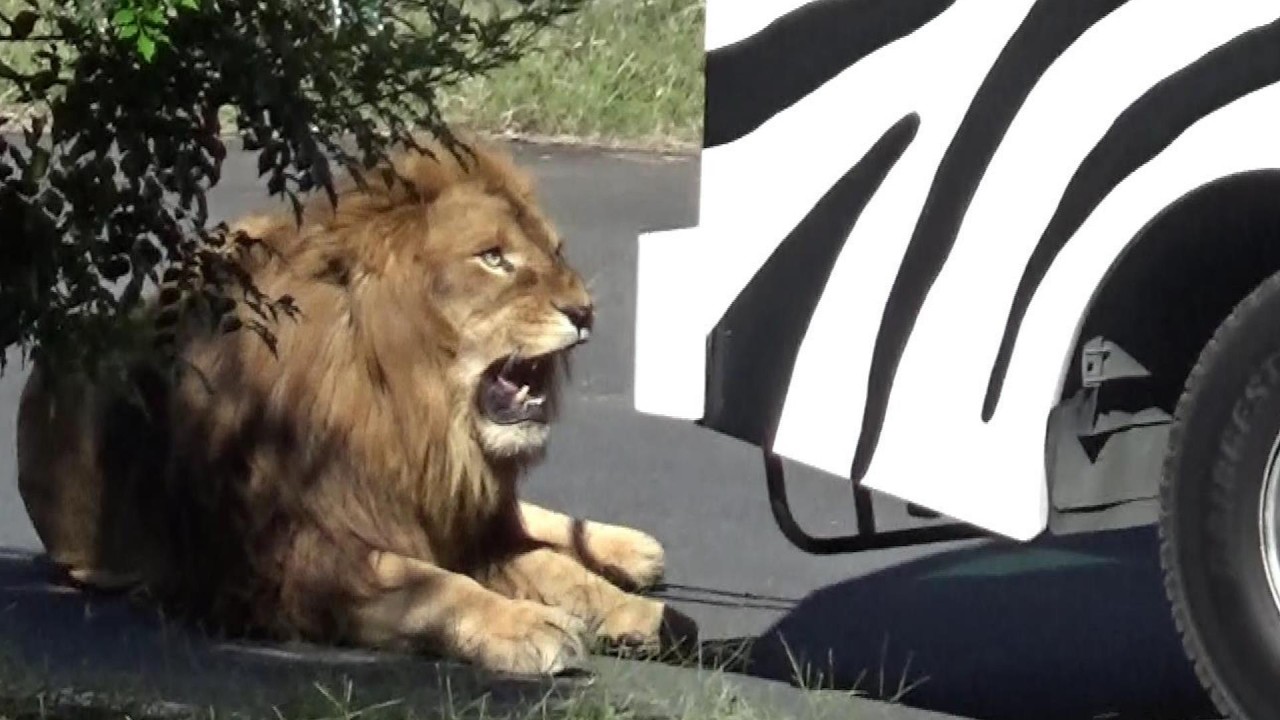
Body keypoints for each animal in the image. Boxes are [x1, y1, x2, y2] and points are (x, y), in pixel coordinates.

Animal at [14, 137, 697, 675]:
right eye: (492, 257)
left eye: (555, 252)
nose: (585, 311)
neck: (415, 416)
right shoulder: (292, 560)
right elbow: (435, 584)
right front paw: (530, 625)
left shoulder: (460, 513)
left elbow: (556, 567)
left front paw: (647, 615)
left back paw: (631, 551)